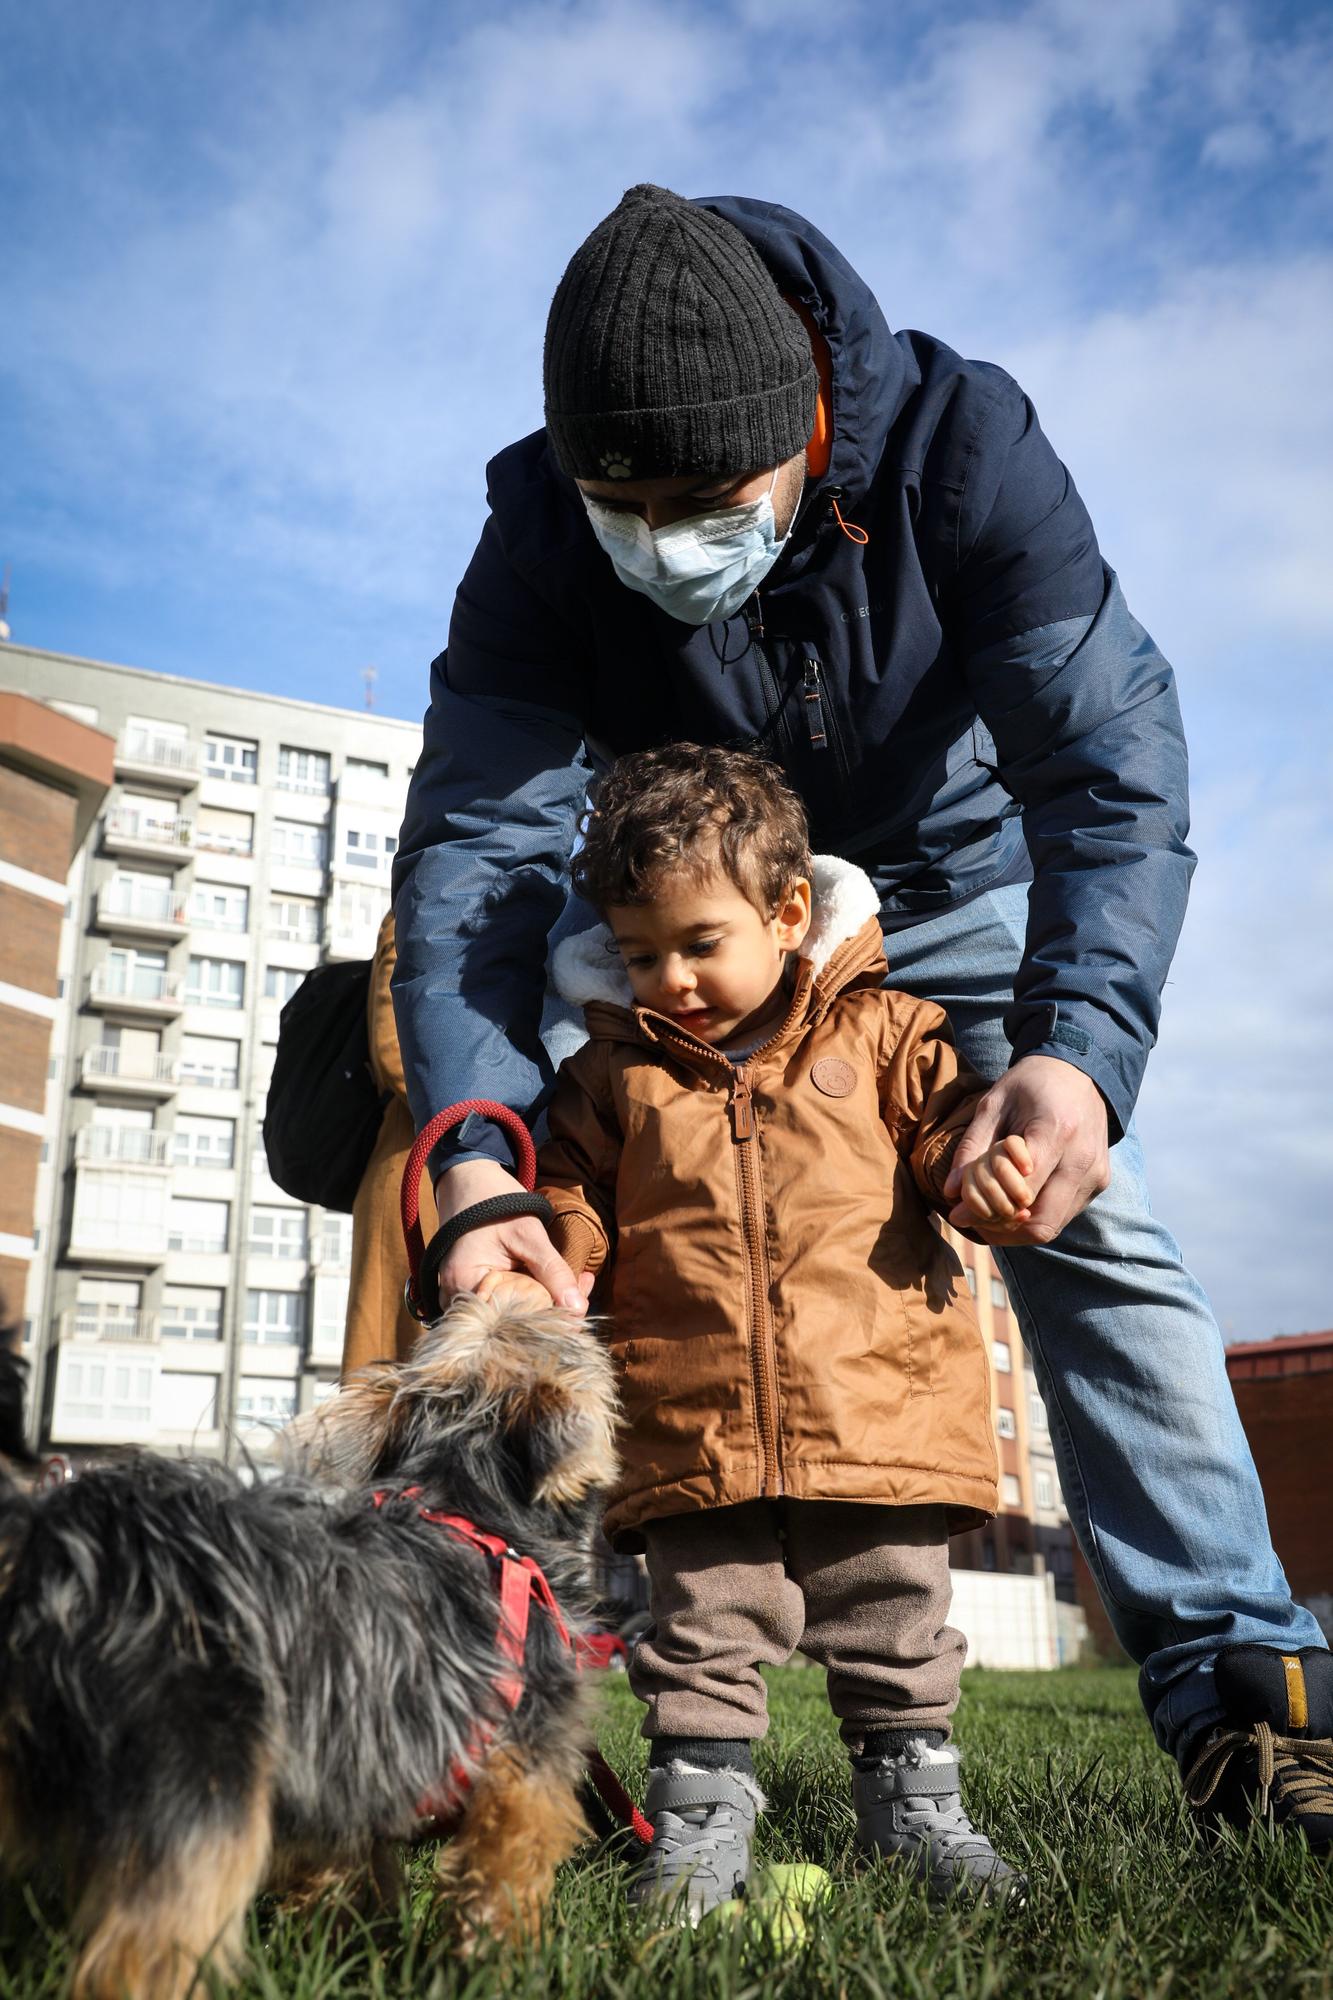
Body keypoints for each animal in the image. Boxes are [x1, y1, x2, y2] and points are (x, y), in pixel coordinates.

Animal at [0, 1296, 616, 2000]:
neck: (472, 1505)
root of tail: (69, 1557)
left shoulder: (350, 1774)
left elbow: (344, 1885)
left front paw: (352, 1952)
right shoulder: (524, 1772)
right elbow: (503, 1883)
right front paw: (502, 1968)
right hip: (199, 1788)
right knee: (145, 1948)